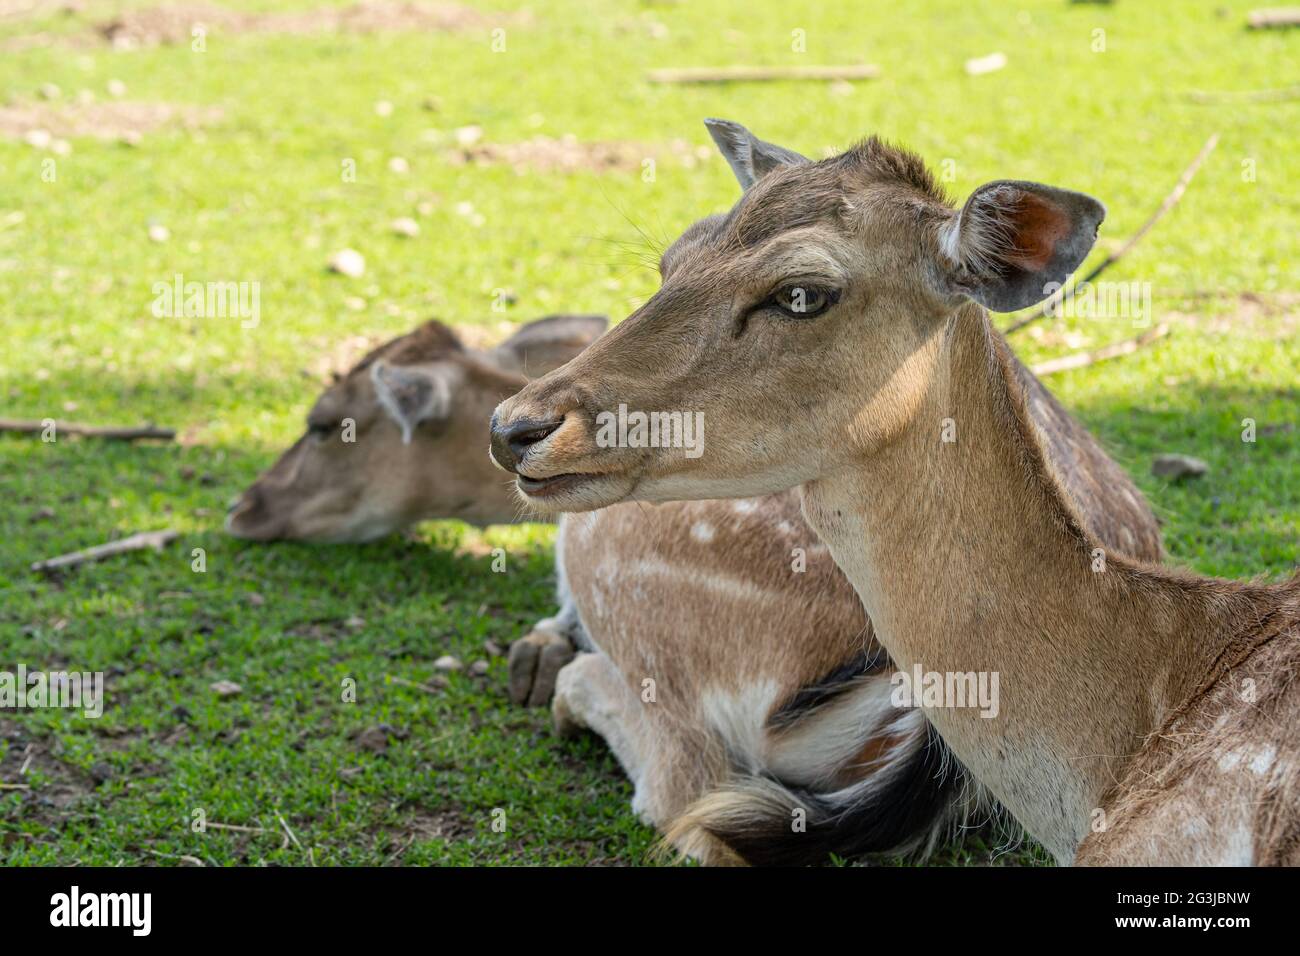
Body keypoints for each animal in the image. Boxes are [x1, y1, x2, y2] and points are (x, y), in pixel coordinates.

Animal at [228, 314, 1164, 868]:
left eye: (325, 423)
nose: (243, 508)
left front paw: (548, 656)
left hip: (625, 550)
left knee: (690, 790)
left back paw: (573, 691)